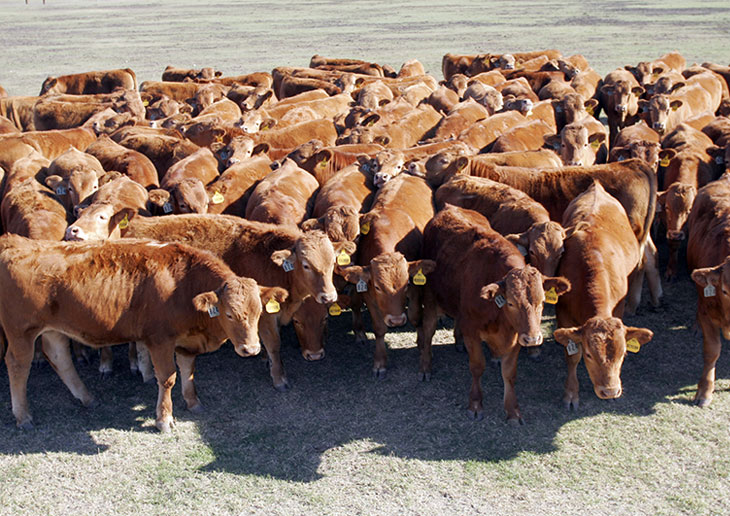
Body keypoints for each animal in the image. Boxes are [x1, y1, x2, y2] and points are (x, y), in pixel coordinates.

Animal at [0, 234, 272, 432]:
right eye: (229, 314)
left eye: (259, 312)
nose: (251, 349)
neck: (183, 283)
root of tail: (15, 242)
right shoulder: (160, 340)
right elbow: (168, 377)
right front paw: (164, 419)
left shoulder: (186, 341)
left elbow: (188, 370)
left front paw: (193, 402)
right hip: (21, 332)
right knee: (17, 365)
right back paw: (23, 416)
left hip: (54, 329)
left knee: (59, 357)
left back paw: (86, 397)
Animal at [416, 206, 568, 424]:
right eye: (511, 303)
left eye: (540, 302)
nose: (532, 339)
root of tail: (448, 208)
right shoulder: (472, 330)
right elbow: (477, 366)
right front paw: (475, 404)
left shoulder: (516, 335)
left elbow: (510, 373)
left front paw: (513, 411)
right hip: (430, 296)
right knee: (428, 331)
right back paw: (425, 367)